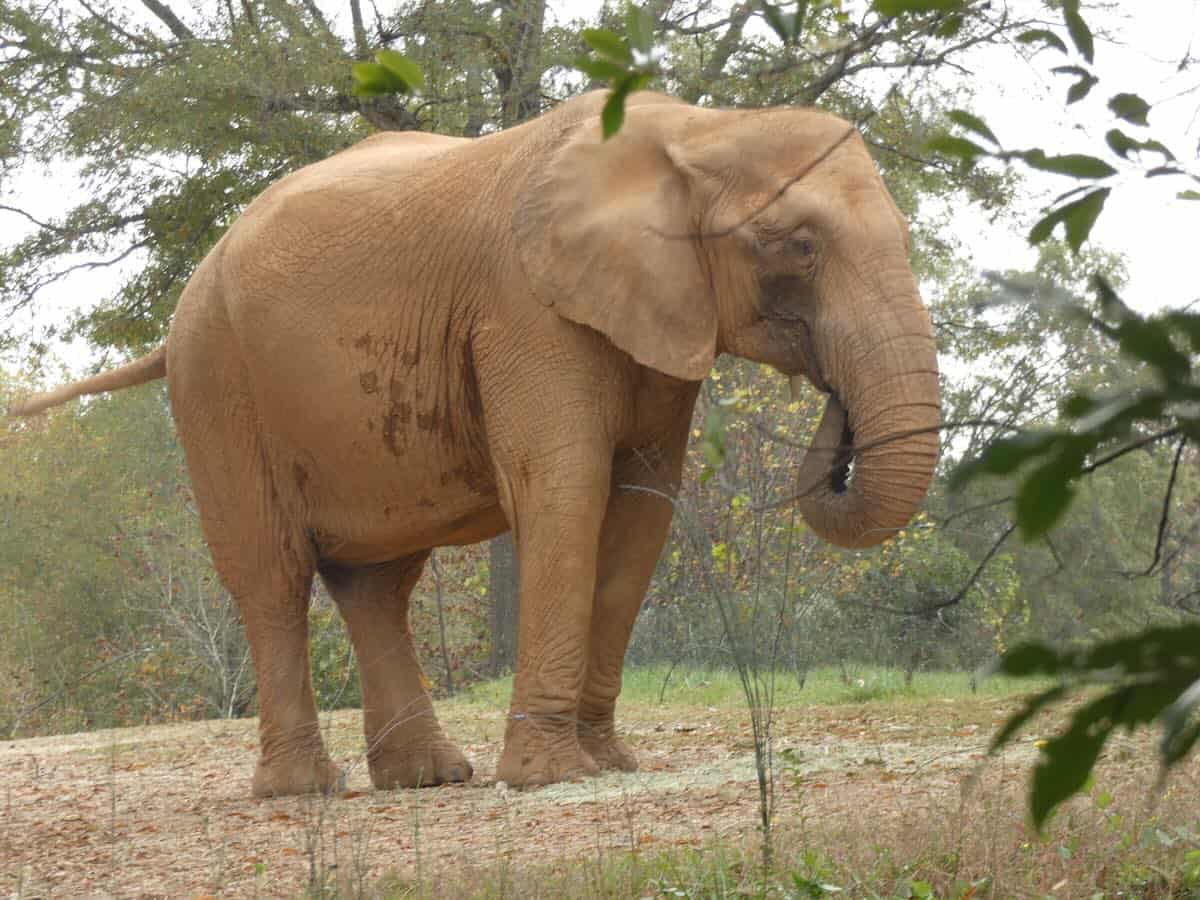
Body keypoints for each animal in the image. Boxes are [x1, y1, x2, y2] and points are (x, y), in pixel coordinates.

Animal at [14, 91, 940, 796]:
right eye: (799, 245)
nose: (834, 400)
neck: (695, 127)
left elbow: (641, 514)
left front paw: (609, 762)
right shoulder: (525, 310)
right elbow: (565, 491)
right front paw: (552, 778)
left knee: (376, 583)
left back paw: (426, 778)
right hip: (217, 379)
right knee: (271, 573)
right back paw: (304, 791)